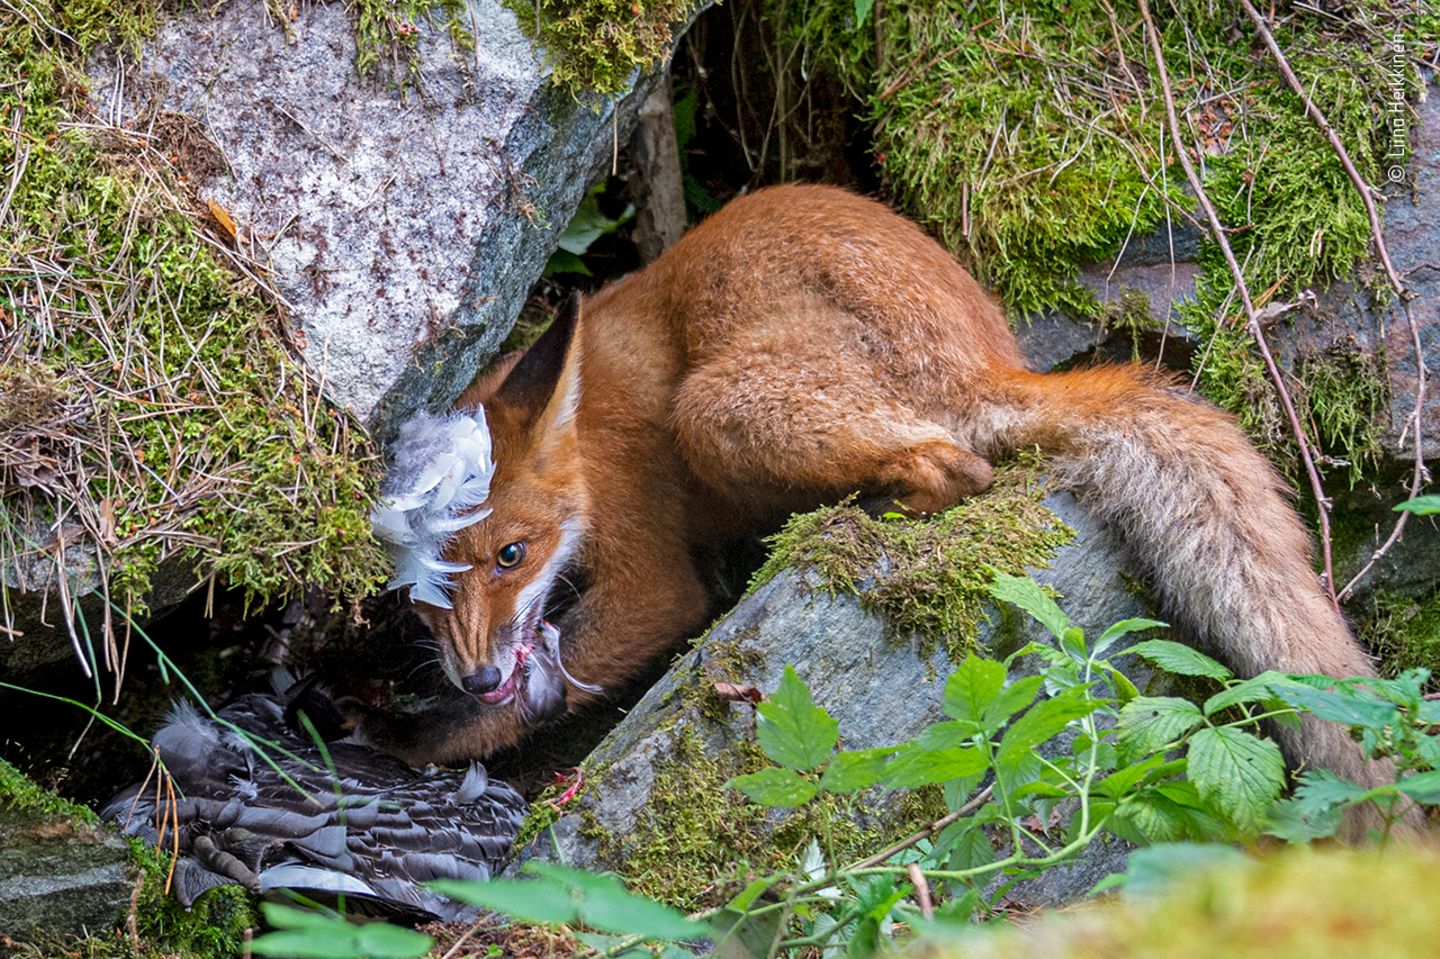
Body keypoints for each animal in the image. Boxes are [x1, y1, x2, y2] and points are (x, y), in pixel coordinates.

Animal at [362, 181, 1393, 800]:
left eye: (512, 553)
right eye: (420, 595)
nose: (478, 673)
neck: (590, 436)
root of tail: (990, 359)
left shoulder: (655, 574)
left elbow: (552, 679)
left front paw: (412, 737)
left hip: (718, 407)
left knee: (959, 466)